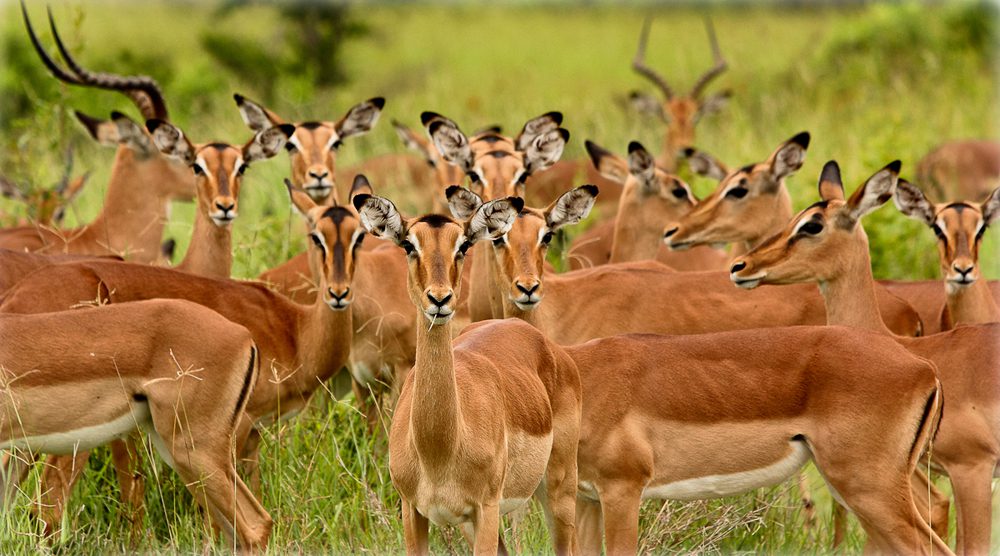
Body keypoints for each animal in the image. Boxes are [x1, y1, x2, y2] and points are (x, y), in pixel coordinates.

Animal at [352, 192, 582, 555]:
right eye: (408, 244)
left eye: (462, 245)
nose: (440, 298)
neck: (439, 450)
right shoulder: (413, 511)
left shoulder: (485, 509)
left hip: (559, 489)